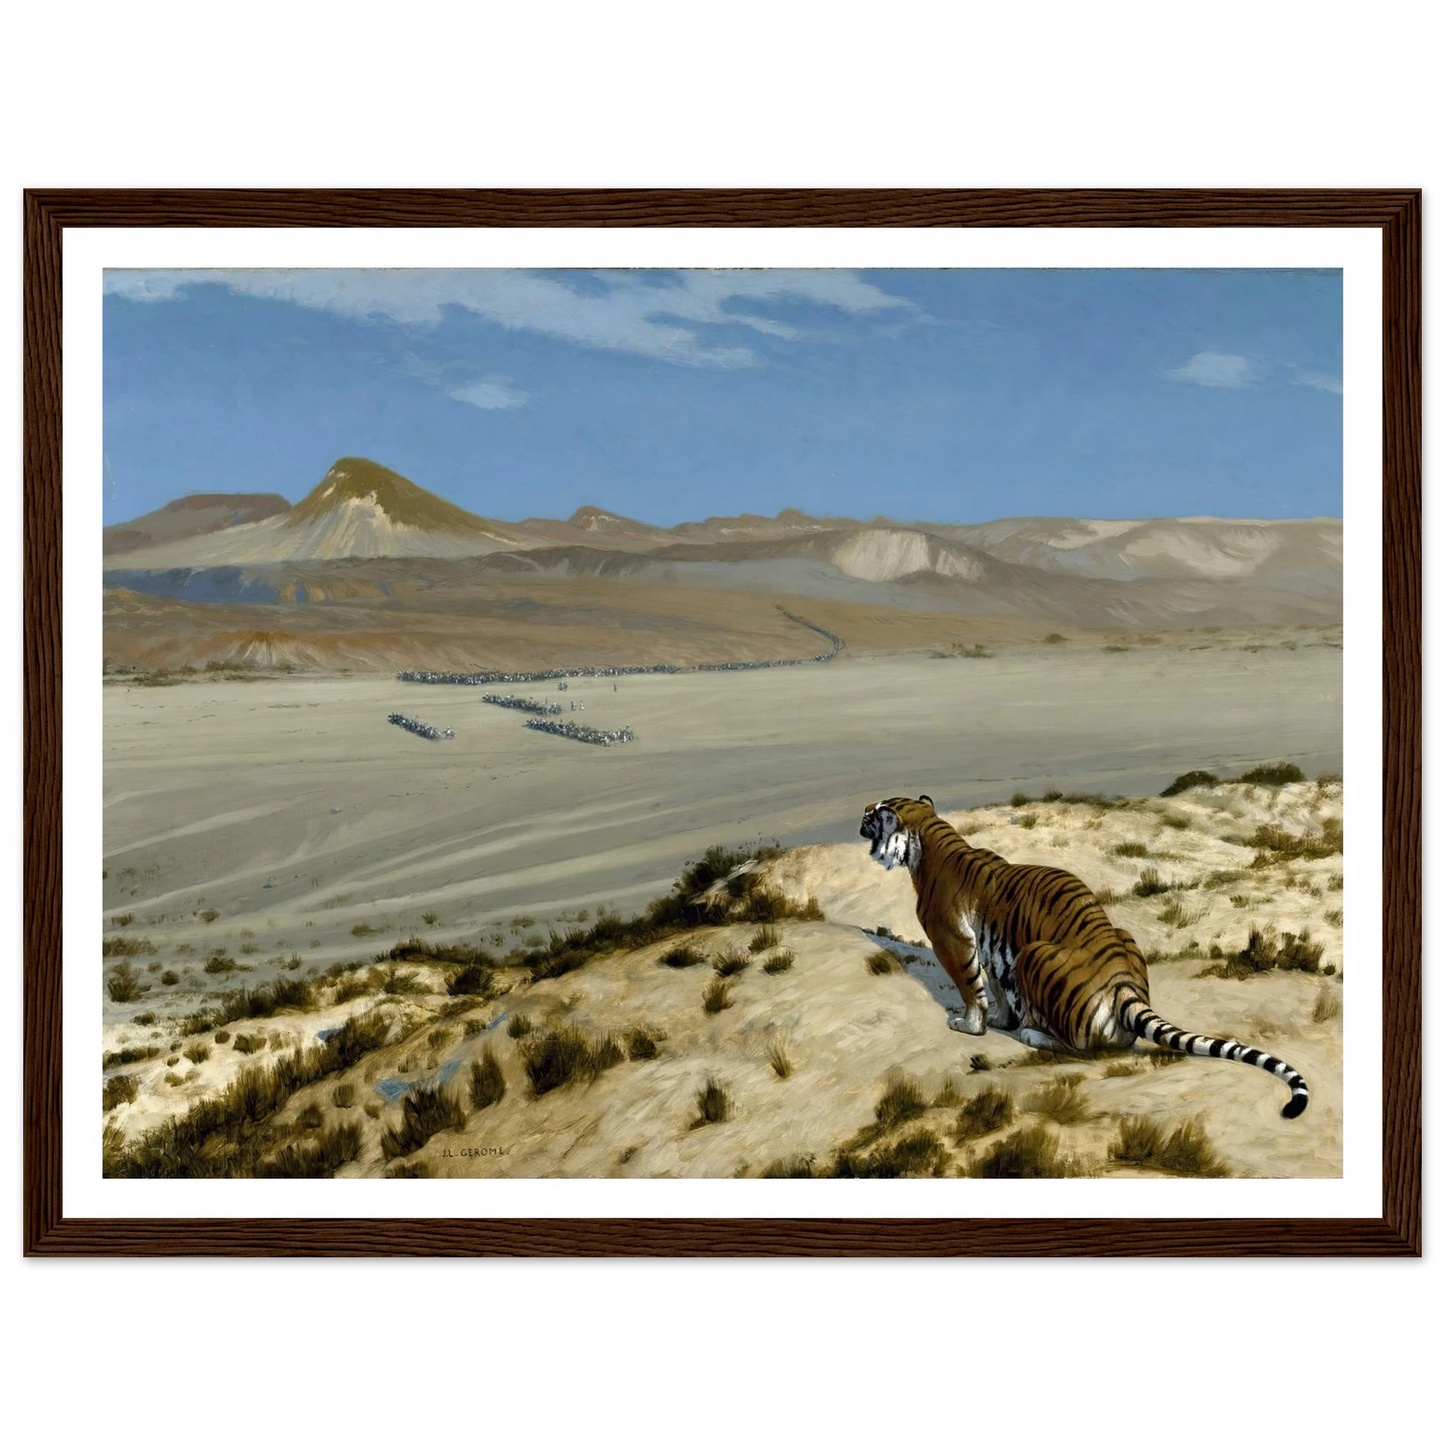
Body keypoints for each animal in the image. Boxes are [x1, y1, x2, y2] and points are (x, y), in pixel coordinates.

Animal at [860, 794, 1309, 1119]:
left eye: (875, 813)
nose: (860, 816)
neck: (928, 840)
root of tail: (1124, 984)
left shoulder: (952, 940)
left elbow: (972, 988)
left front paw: (970, 1026)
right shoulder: (990, 949)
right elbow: (997, 987)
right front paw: (1001, 1019)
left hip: (1033, 954)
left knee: (1079, 1048)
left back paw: (1032, 1033)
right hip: (1114, 939)